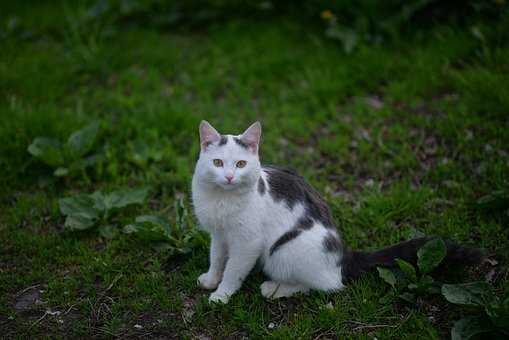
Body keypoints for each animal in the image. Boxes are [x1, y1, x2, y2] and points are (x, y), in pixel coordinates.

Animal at [190, 121, 480, 304]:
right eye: (217, 162)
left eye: (240, 164)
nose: (229, 177)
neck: (222, 199)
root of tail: (344, 254)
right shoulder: (219, 234)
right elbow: (217, 258)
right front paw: (211, 279)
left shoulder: (247, 243)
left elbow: (233, 270)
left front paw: (222, 295)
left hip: (283, 251)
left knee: (326, 285)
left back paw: (274, 288)